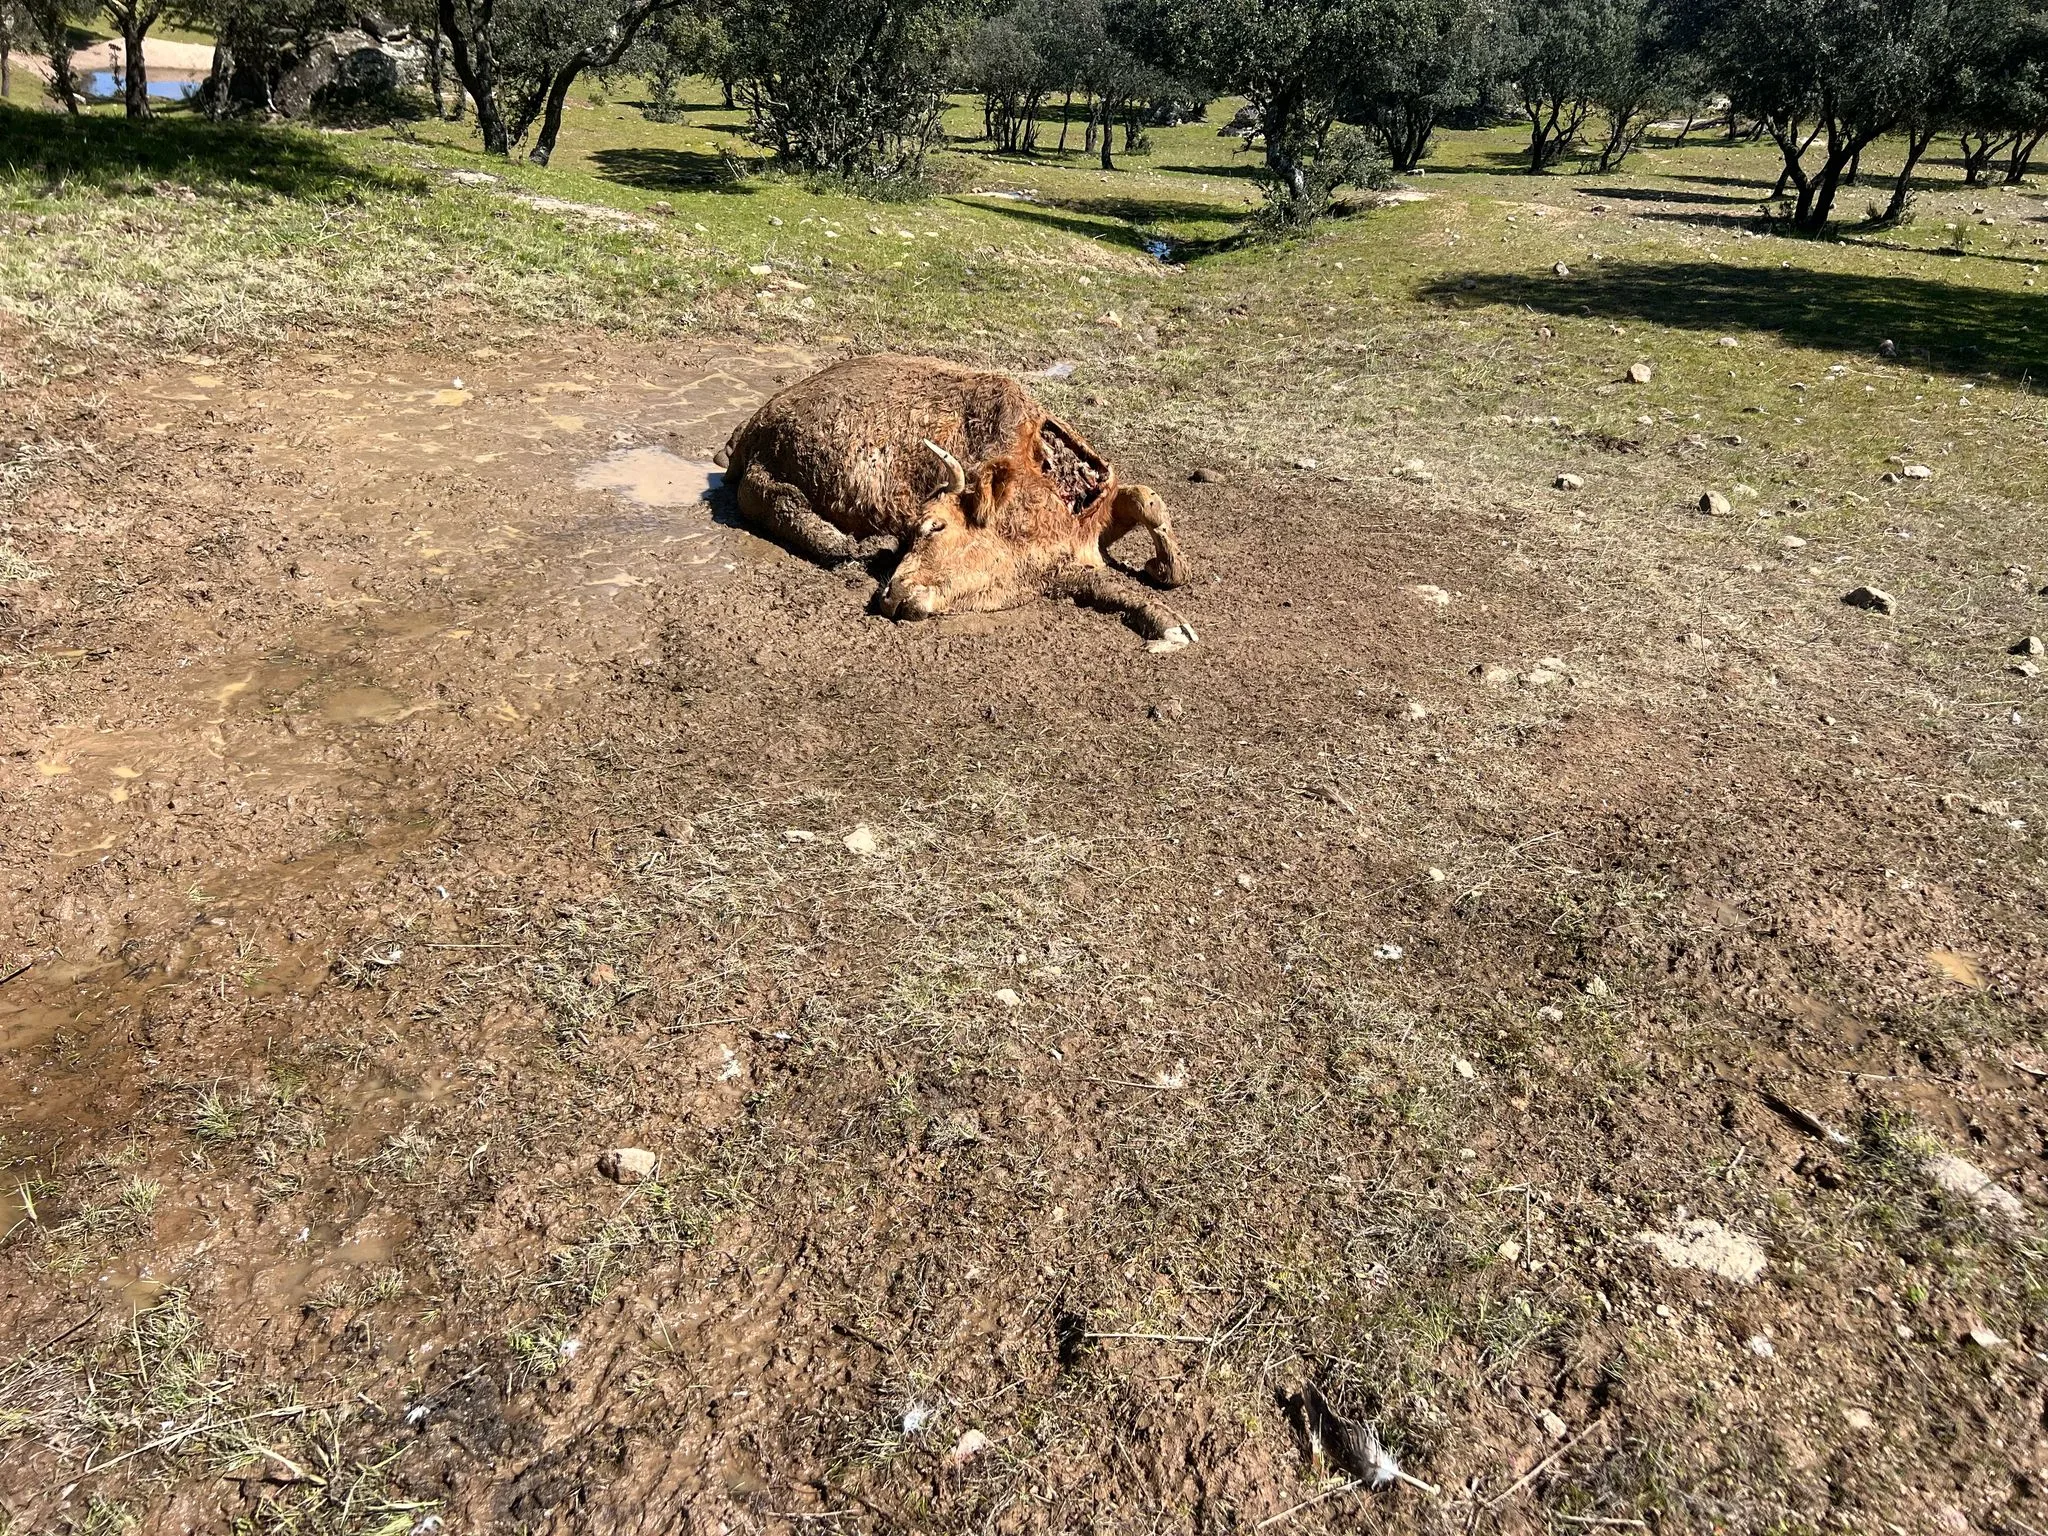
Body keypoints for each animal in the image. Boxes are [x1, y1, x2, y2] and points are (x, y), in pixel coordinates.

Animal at [715, 354, 1194, 645]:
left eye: (936, 525)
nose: (894, 594)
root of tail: (753, 429)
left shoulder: (1062, 558)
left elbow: (1145, 502)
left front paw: (1168, 604)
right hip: (770, 476)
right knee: (781, 505)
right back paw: (861, 545)